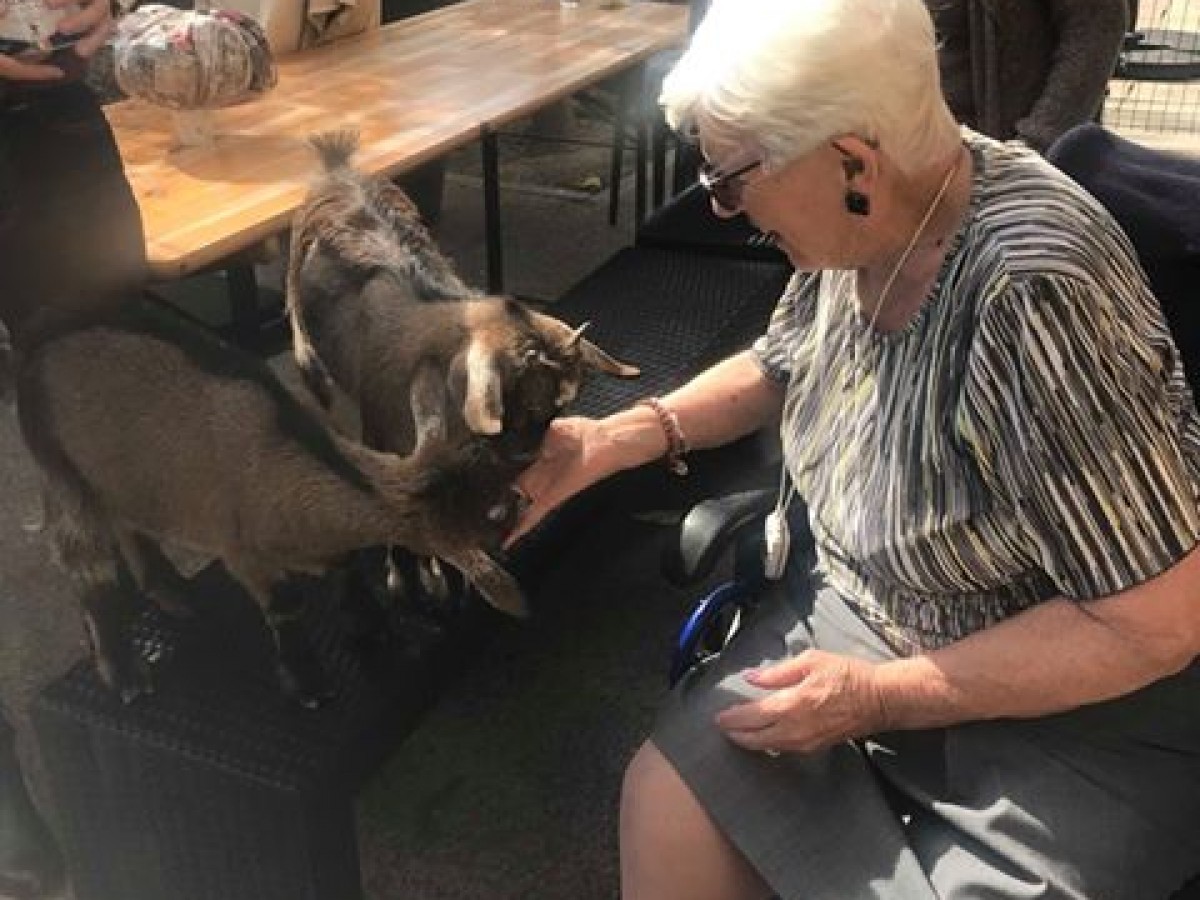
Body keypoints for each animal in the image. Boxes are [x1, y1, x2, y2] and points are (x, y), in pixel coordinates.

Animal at [16, 307, 532, 710]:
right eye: (493, 514)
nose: (525, 500)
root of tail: (31, 353)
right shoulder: (242, 550)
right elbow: (286, 605)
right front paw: (310, 684)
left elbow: (346, 566)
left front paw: (369, 625)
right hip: (61, 472)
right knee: (85, 564)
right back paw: (124, 672)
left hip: (120, 480)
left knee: (129, 526)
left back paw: (172, 593)